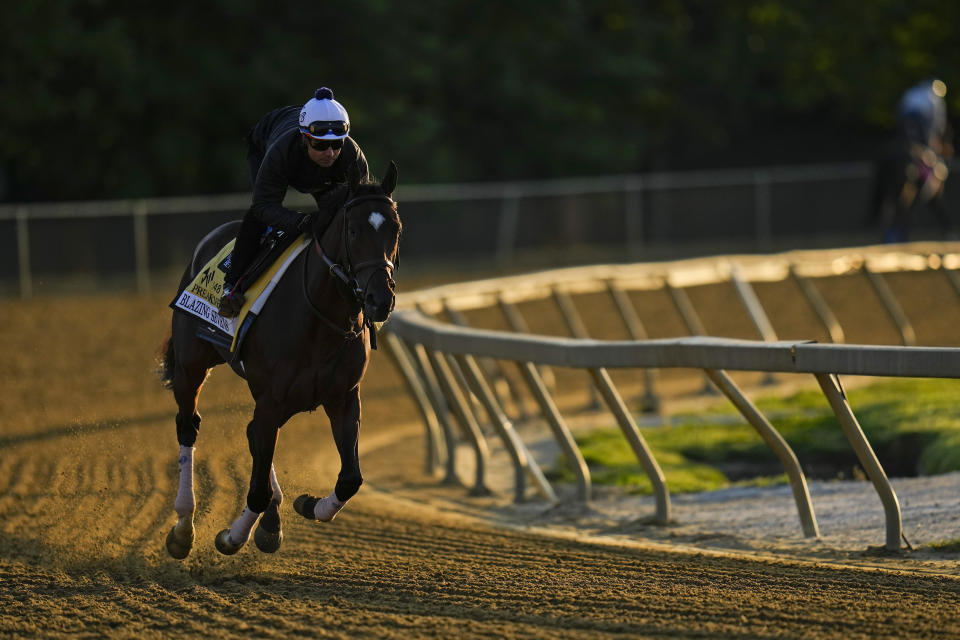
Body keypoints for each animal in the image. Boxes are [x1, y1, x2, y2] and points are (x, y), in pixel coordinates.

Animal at [157, 162, 402, 556]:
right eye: (353, 230)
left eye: (395, 228)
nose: (380, 299)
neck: (319, 317)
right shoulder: (272, 399)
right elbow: (256, 489)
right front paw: (231, 537)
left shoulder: (343, 398)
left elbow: (350, 478)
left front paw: (309, 504)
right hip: (190, 366)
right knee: (188, 425)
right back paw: (183, 526)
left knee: (251, 433)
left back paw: (270, 522)